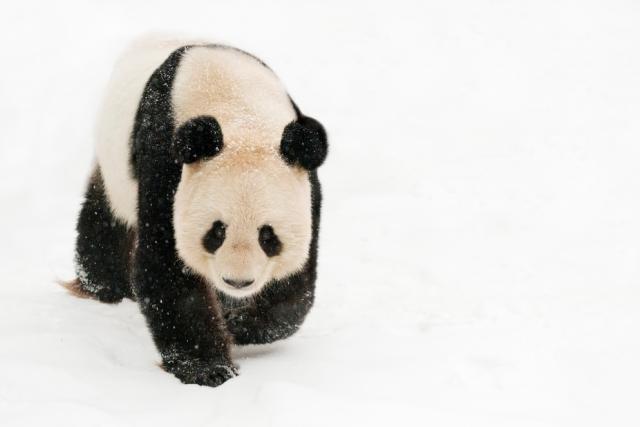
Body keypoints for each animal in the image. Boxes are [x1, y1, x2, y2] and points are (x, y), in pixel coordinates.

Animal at [66, 38, 327, 387]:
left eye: (268, 236)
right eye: (216, 231)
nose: (238, 282)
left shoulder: (306, 185)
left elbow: (295, 281)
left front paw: (240, 324)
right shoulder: (166, 164)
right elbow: (169, 267)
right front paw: (208, 368)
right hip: (114, 167)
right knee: (106, 217)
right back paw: (105, 285)